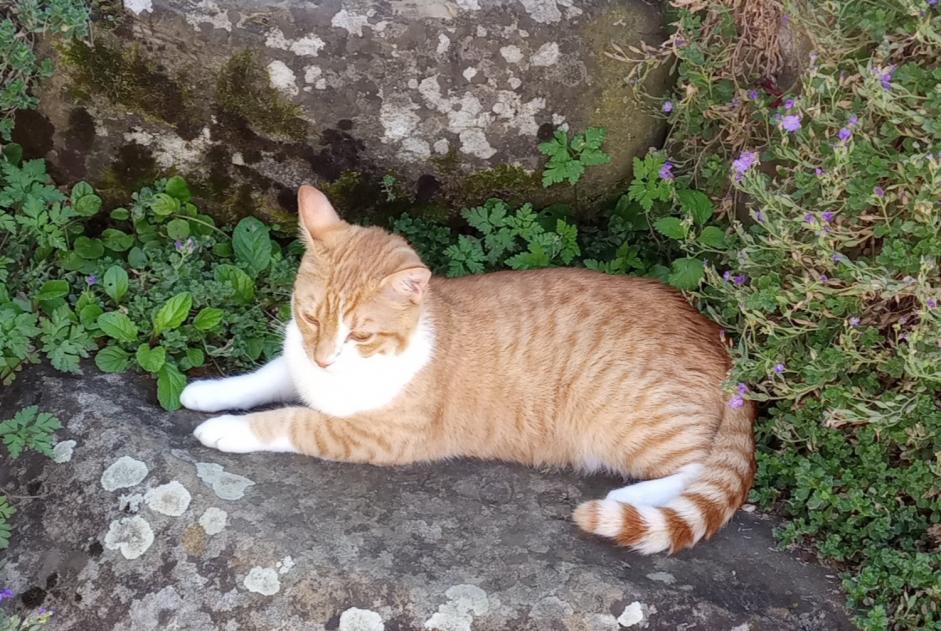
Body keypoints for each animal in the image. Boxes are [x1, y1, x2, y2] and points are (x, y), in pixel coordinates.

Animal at [184, 184, 756, 552]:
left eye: (360, 335)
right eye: (309, 317)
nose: (325, 357)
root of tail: (721, 343)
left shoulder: (378, 435)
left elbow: (290, 419)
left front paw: (226, 430)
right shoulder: (298, 363)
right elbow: (262, 377)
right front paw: (206, 393)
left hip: (628, 419)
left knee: (700, 468)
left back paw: (626, 495)